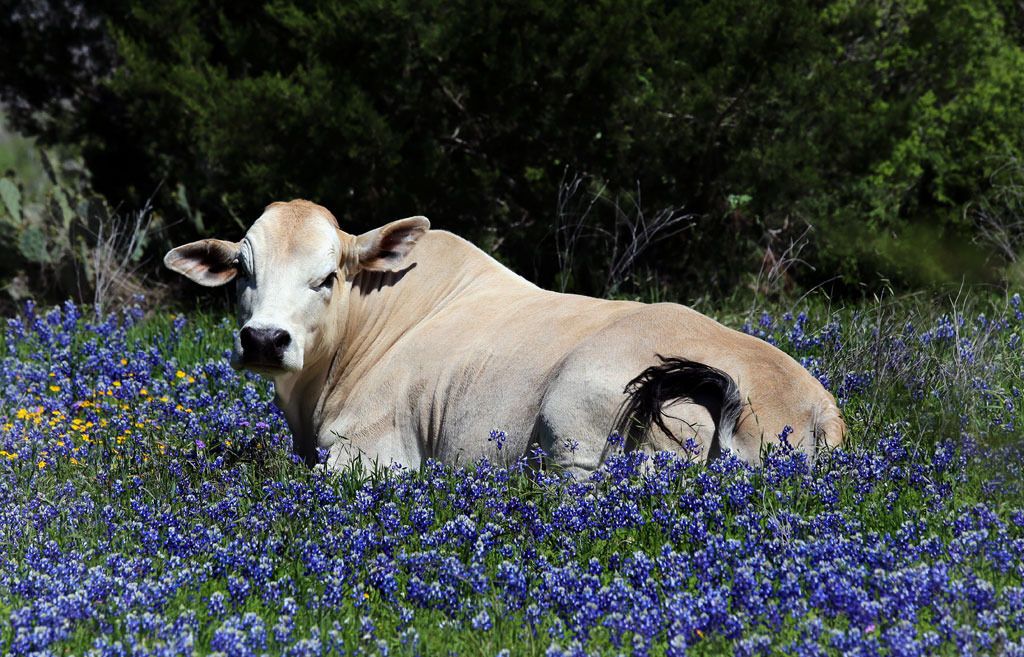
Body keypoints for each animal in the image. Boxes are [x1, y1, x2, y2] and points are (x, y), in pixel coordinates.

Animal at [165, 199, 844, 475]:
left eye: (327, 275)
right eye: (242, 270)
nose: (264, 340)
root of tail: (811, 407)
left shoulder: (374, 454)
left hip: (580, 427)